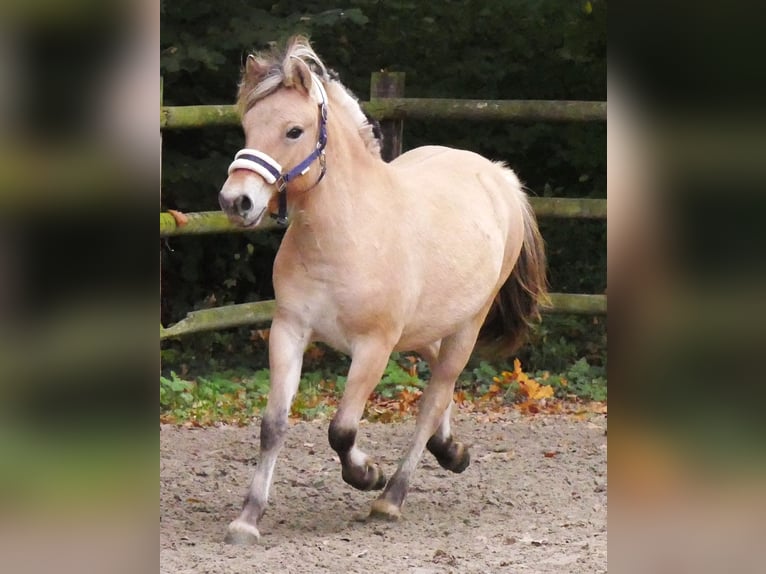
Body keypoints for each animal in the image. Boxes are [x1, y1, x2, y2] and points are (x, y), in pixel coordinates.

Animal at [218, 36, 548, 545]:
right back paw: (450, 450)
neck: (344, 233)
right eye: (248, 126)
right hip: (427, 327)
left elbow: (341, 429)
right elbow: (273, 425)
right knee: (436, 379)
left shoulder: (373, 347)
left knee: (433, 397)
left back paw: (391, 497)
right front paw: (247, 519)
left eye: (293, 131)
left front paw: (367, 474)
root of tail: (497, 175)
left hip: (466, 326)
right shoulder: (288, 331)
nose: (237, 202)